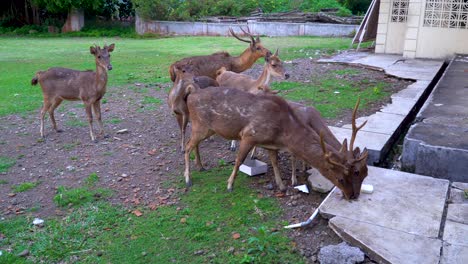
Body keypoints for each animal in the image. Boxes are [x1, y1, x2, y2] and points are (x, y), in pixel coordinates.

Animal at [183, 85, 370, 200]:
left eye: (361, 174)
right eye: (340, 178)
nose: (352, 196)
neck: (282, 134)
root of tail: (191, 94)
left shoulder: (271, 145)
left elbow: (275, 163)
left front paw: (281, 186)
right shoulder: (248, 135)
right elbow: (238, 160)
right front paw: (229, 185)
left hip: (206, 129)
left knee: (194, 145)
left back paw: (200, 166)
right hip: (200, 125)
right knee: (186, 146)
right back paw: (188, 178)